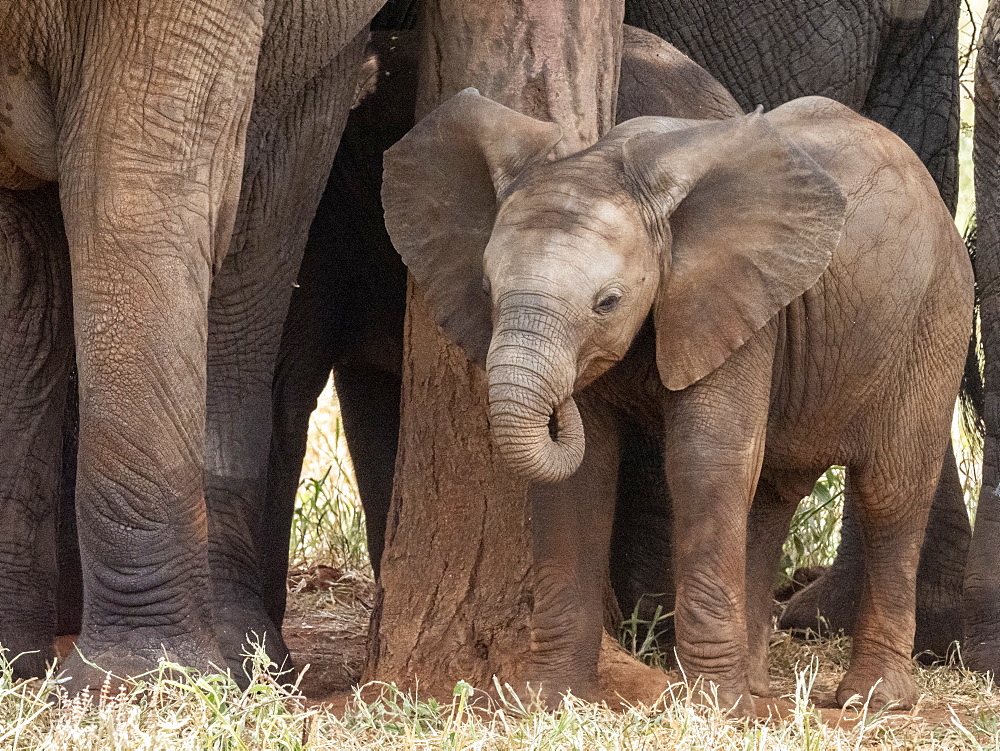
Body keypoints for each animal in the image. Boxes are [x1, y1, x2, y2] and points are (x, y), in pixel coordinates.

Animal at [380, 89, 968, 716]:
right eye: (488, 291)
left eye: (608, 303)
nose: (562, 405)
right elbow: (583, 476)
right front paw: (549, 700)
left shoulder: (736, 301)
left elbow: (704, 460)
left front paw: (716, 710)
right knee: (770, 492)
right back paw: (760, 686)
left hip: (937, 317)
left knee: (889, 492)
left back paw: (873, 701)